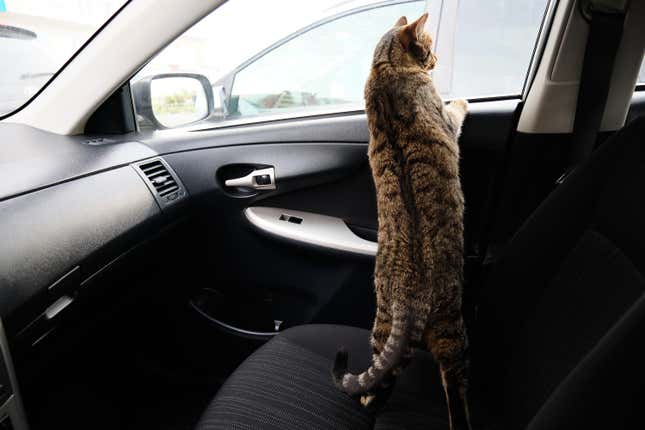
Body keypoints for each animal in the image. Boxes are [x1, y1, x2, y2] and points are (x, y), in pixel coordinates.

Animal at [334, 13, 470, 430]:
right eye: (428, 47)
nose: (436, 60)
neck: (385, 68)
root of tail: (412, 295)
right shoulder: (444, 119)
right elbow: (454, 112)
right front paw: (462, 99)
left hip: (381, 327)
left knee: (377, 379)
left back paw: (366, 397)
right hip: (452, 329)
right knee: (454, 384)